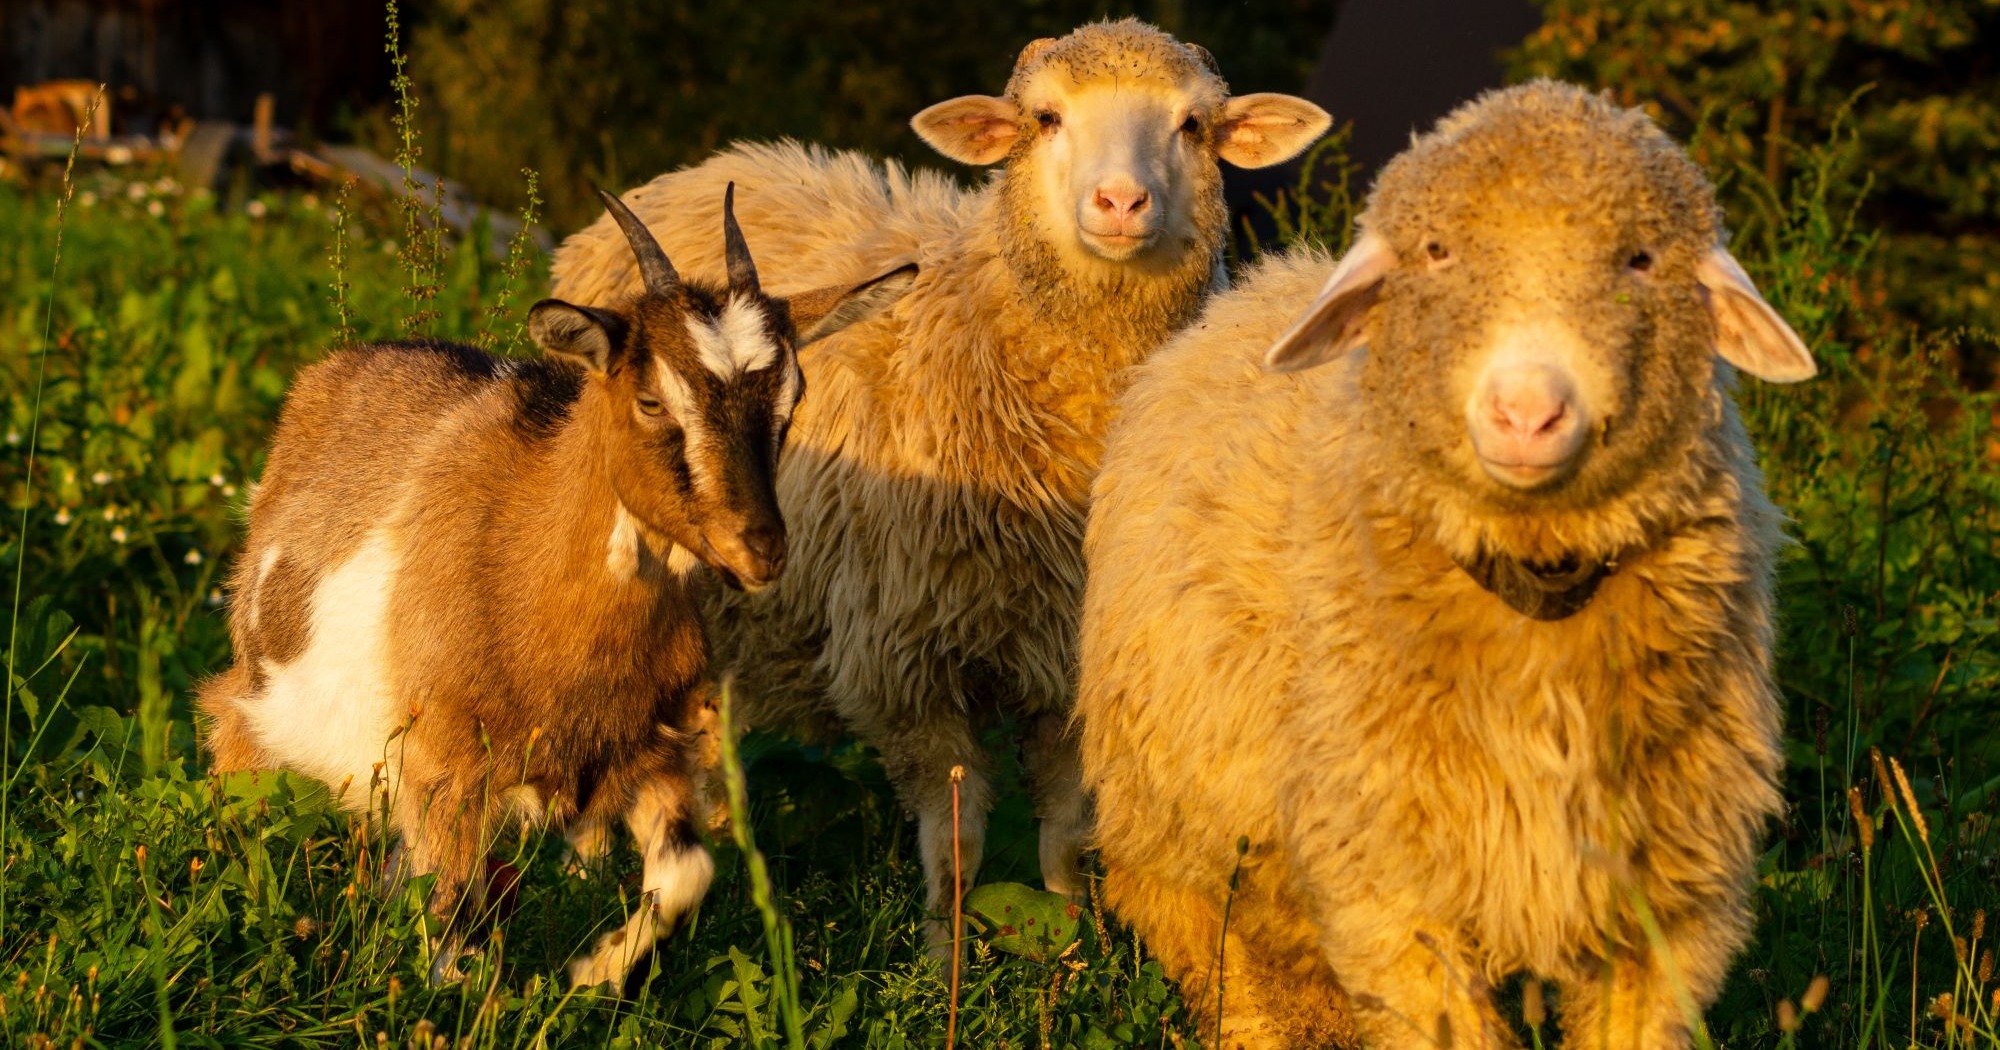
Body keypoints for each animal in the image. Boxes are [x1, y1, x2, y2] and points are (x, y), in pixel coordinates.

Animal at [196, 187, 917, 988]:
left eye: (793, 399)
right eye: (651, 401)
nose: (759, 548)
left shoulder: (645, 750)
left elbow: (686, 876)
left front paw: (591, 975)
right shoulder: (447, 767)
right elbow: (452, 935)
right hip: (261, 696)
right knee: (237, 759)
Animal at [548, 18, 1331, 944]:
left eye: (1193, 125)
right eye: (1045, 119)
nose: (1120, 203)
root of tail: (696, 169)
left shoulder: (1070, 656)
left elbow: (1065, 824)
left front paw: (1069, 939)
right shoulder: (902, 657)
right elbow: (955, 837)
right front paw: (942, 947)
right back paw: (591, 872)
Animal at [1076, 80, 1818, 1050]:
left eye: (1641, 259)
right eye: (1436, 252)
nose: (1527, 412)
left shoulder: (1667, 907)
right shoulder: (1391, 892)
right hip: (1177, 843)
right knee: (1231, 969)